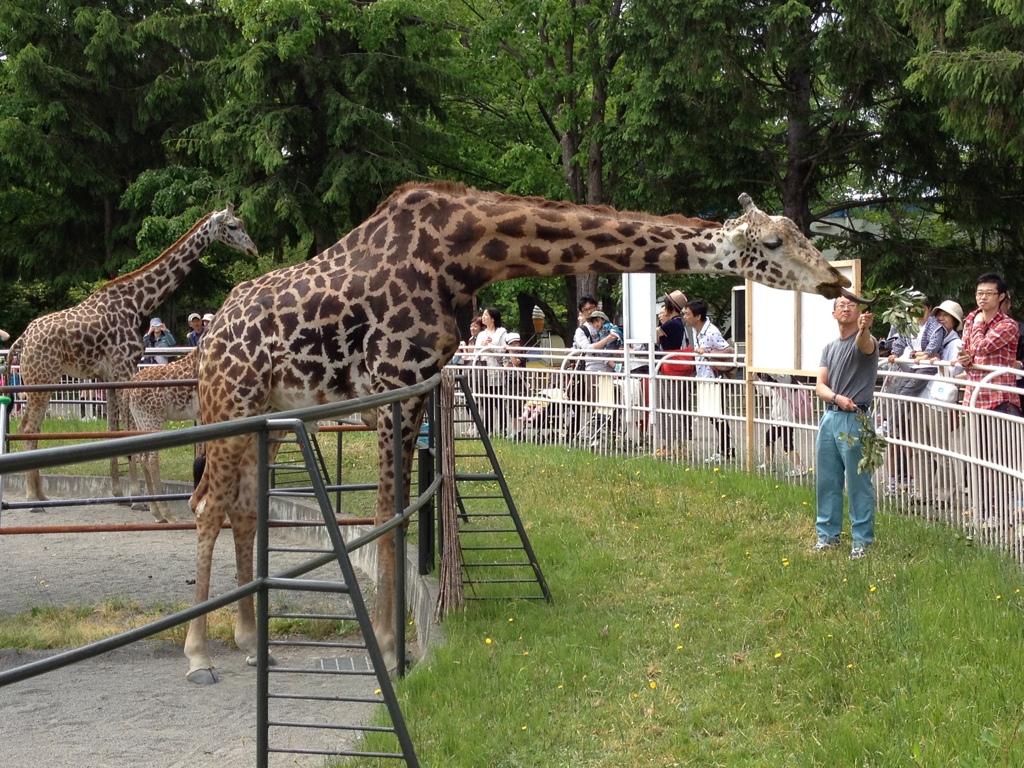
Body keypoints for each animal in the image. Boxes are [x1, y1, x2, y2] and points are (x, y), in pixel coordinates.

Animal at [123, 350, 199, 528]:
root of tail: (129, 389)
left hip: (140, 421)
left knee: (142, 457)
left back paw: (156, 512)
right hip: (152, 419)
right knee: (151, 459)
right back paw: (167, 514)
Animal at [186, 182, 864, 684]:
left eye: (803, 235)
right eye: (774, 241)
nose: (837, 282)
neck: (467, 255)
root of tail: (213, 331)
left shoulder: (416, 388)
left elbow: (398, 513)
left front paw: (391, 639)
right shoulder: (393, 384)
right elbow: (386, 514)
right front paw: (386, 643)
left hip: (272, 415)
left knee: (242, 506)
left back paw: (251, 639)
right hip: (230, 398)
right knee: (207, 503)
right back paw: (198, 653)